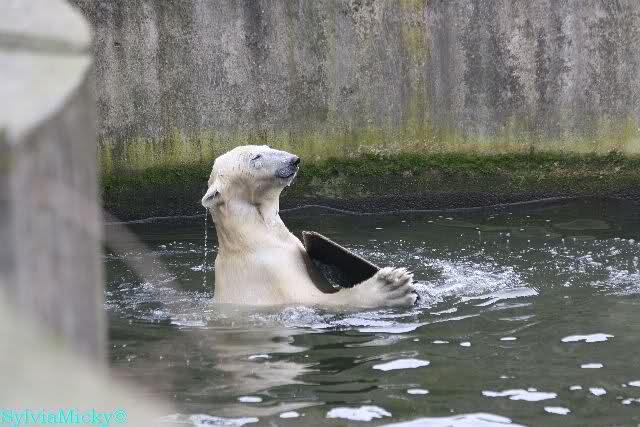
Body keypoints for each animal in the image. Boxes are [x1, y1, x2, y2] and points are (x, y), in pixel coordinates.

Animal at [201, 145, 416, 308]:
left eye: (267, 146)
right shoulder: (269, 274)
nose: (294, 160)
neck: (252, 238)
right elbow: (313, 298)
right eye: (256, 156)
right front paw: (391, 287)